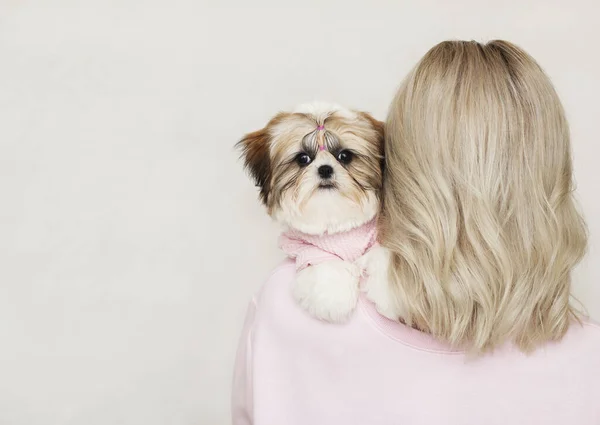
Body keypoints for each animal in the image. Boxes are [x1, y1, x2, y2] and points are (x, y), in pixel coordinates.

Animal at [238, 102, 384, 322]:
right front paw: (334, 299)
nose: (325, 169)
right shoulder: (302, 246)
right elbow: (327, 265)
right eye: (303, 159)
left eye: (344, 156)